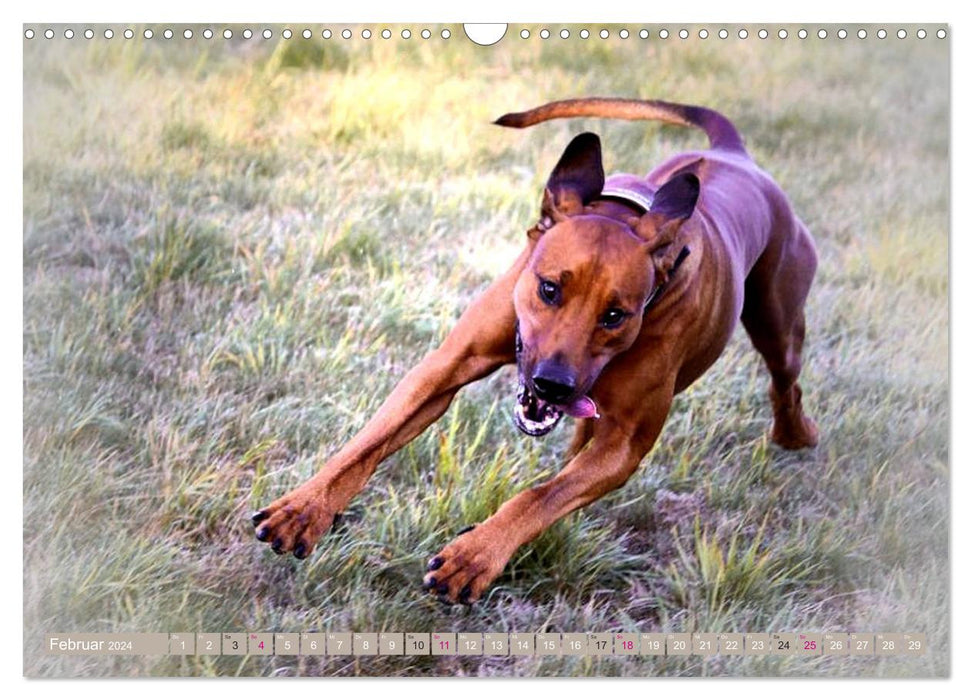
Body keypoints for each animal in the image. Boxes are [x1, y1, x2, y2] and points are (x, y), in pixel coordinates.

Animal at [251, 97, 820, 600]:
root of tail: (734, 152)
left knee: (785, 380)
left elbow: (540, 496)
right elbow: (367, 444)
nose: (552, 383)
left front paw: (475, 555)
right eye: (549, 288)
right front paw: (305, 508)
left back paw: (795, 433)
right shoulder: (443, 369)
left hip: (777, 320)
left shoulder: (625, 445)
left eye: (616, 315)